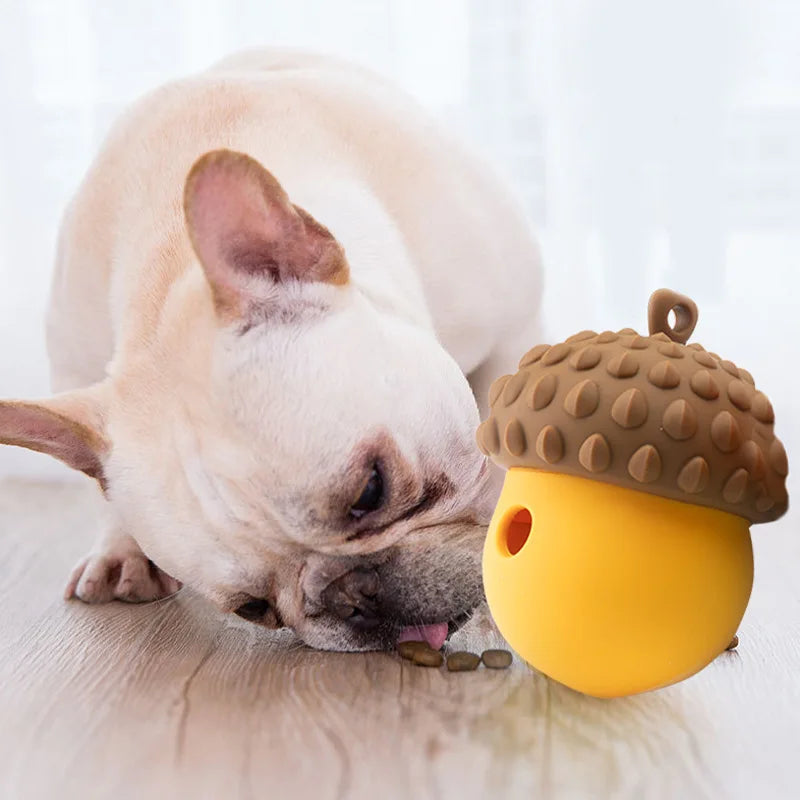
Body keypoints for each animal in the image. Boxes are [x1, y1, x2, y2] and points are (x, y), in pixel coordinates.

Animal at [0, 48, 544, 648]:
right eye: (255, 608)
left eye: (370, 491)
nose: (354, 597)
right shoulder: (77, 369)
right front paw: (122, 548)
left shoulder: (514, 330)